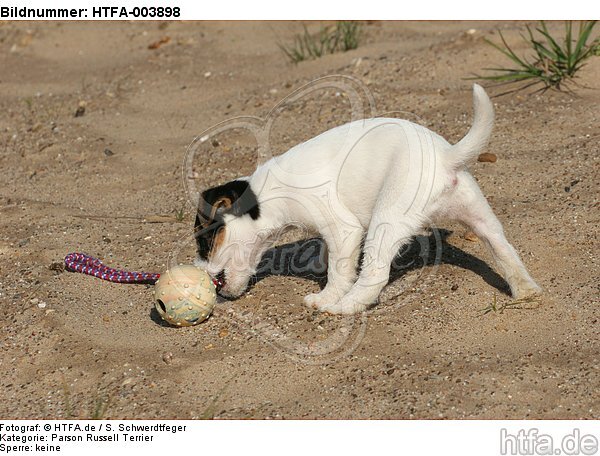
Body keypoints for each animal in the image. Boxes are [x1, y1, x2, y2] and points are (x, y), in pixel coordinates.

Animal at [195, 84, 540, 314]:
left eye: (204, 242)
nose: (200, 272)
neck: (266, 196)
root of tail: (445, 157)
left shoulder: (342, 228)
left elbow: (339, 271)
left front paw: (326, 297)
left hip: (387, 219)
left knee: (375, 274)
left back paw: (344, 307)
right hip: (479, 215)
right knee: (505, 250)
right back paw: (526, 290)